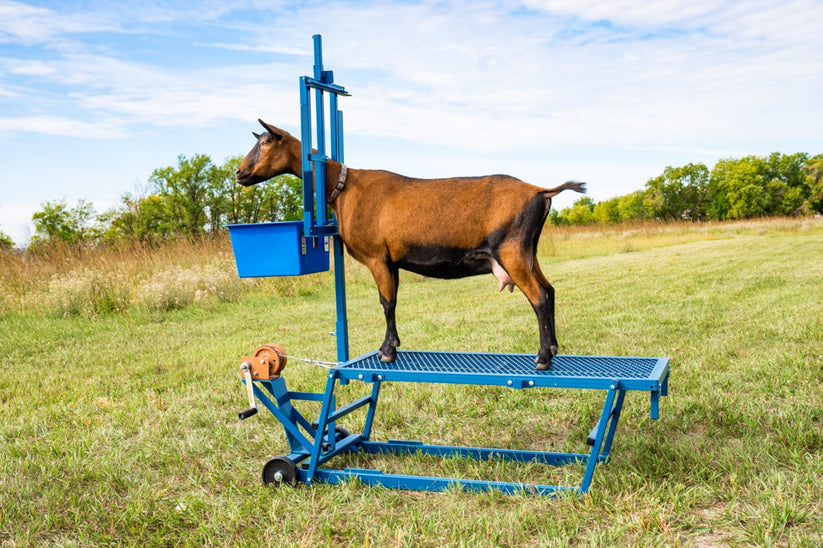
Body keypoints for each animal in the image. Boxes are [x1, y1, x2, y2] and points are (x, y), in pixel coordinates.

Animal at [236, 120, 585, 370]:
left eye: (265, 141)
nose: (239, 173)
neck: (344, 187)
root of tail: (540, 191)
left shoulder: (377, 257)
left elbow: (386, 302)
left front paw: (387, 351)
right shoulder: (392, 261)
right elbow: (392, 300)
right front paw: (391, 346)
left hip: (511, 251)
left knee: (539, 297)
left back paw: (542, 358)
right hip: (528, 252)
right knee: (550, 290)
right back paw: (553, 348)